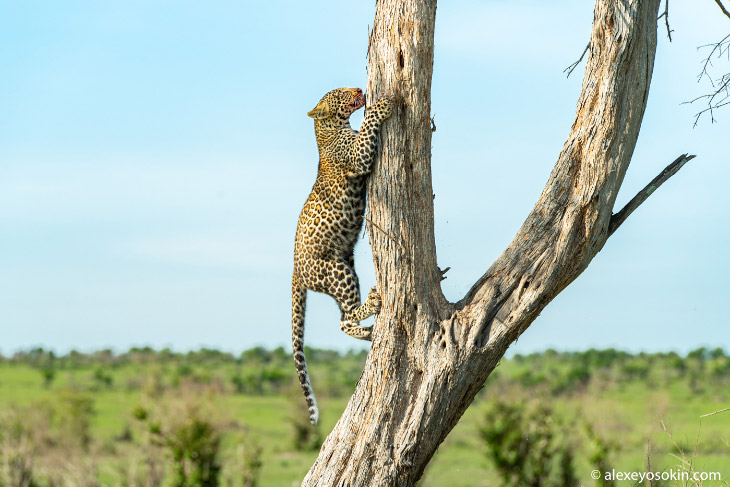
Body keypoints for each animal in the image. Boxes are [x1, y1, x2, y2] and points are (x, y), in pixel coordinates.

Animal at [290, 88, 392, 428]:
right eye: (338, 93)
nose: (359, 89)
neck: (329, 129)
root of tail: (296, 271)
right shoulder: (358, 156)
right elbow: (368, 128)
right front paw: (381, 106)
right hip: (337, 271)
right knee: (345, 320)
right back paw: (373, 305)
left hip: (345, 268)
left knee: (344, 319)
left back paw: (370, 327)